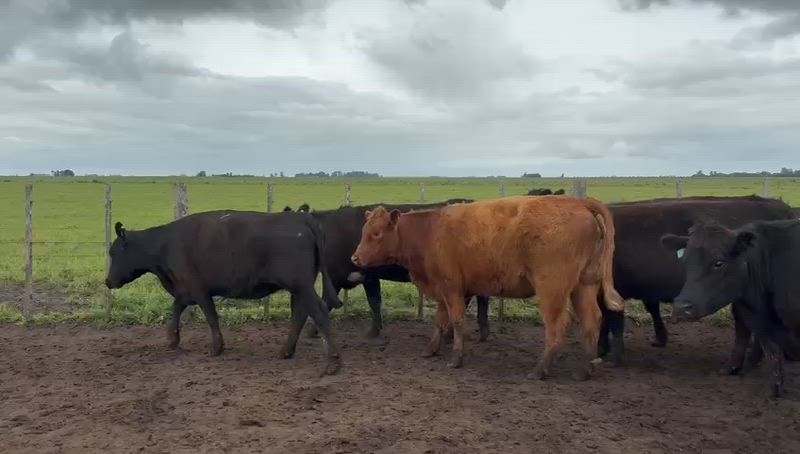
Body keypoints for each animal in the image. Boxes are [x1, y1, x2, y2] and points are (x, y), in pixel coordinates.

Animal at [104, 211, 343, 375]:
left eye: (114, 252)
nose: (107, 281)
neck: (165, 245)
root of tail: (301, 217)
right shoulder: (185, 289)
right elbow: (176, 308)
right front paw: (172, 339)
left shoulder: (199, 290)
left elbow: (210, 316)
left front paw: (216, 347)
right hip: (300, 287)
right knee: (300, 314)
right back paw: (286, 351)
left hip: (301, 285)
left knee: (319, 311)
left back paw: (333, 363)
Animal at [287, 199, 491, 341]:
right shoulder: (368, 277)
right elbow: (375, 301)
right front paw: (374, 330)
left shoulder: (338, 278)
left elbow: (327, 302)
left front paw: (312, 330)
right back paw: (483, 332)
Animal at [351, 195, 625, 379]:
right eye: (364, 231)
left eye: (376, 234)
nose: (355, 258)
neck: (429, 231)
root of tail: (577, 202)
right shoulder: (442, 291)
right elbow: (440, 321)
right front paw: (431, 349)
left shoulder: (452, 288)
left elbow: (457, 321)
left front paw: (456, 358)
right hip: (584, 285)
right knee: (592, 320)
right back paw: (586, 368)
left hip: (552, 289)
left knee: (557, 326)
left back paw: (540, 369)